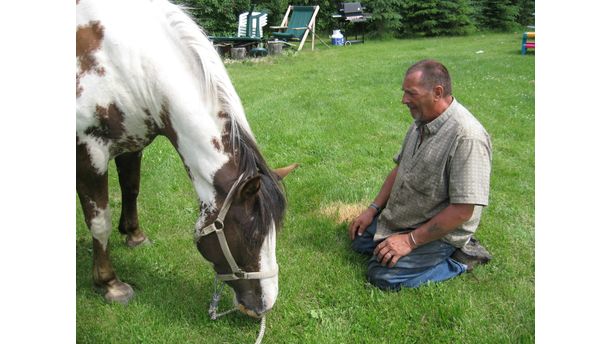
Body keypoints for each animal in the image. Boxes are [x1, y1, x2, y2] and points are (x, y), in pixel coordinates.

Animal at [76, 0, 296, 318]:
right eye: (253, 238)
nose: (265, 305)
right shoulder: (89, 154)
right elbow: (99, 221)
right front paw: (109, 283)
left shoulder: (131, 144)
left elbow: (131, 189)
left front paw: (134, 236)